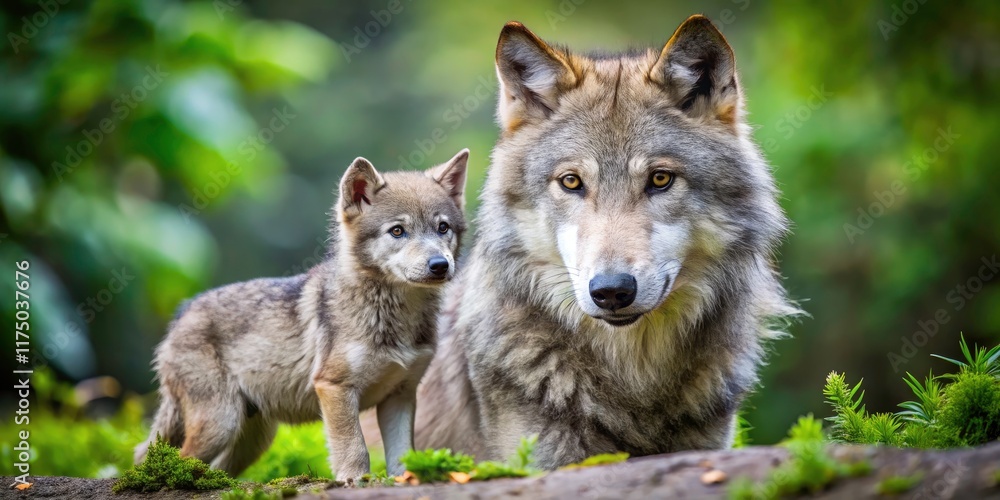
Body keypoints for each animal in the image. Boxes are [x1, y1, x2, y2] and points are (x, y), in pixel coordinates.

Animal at [136, 150, 469, 481]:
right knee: (167, 458)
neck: (397, 315)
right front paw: (354, 480)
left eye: (443, 228)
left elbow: (403, 456)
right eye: (398, 231)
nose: (439, 265)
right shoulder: (334, 387)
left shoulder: (400, 396)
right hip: (220, 425)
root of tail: (182, 314)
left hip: (252, 441)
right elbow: (355, 447)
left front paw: (405, 480)